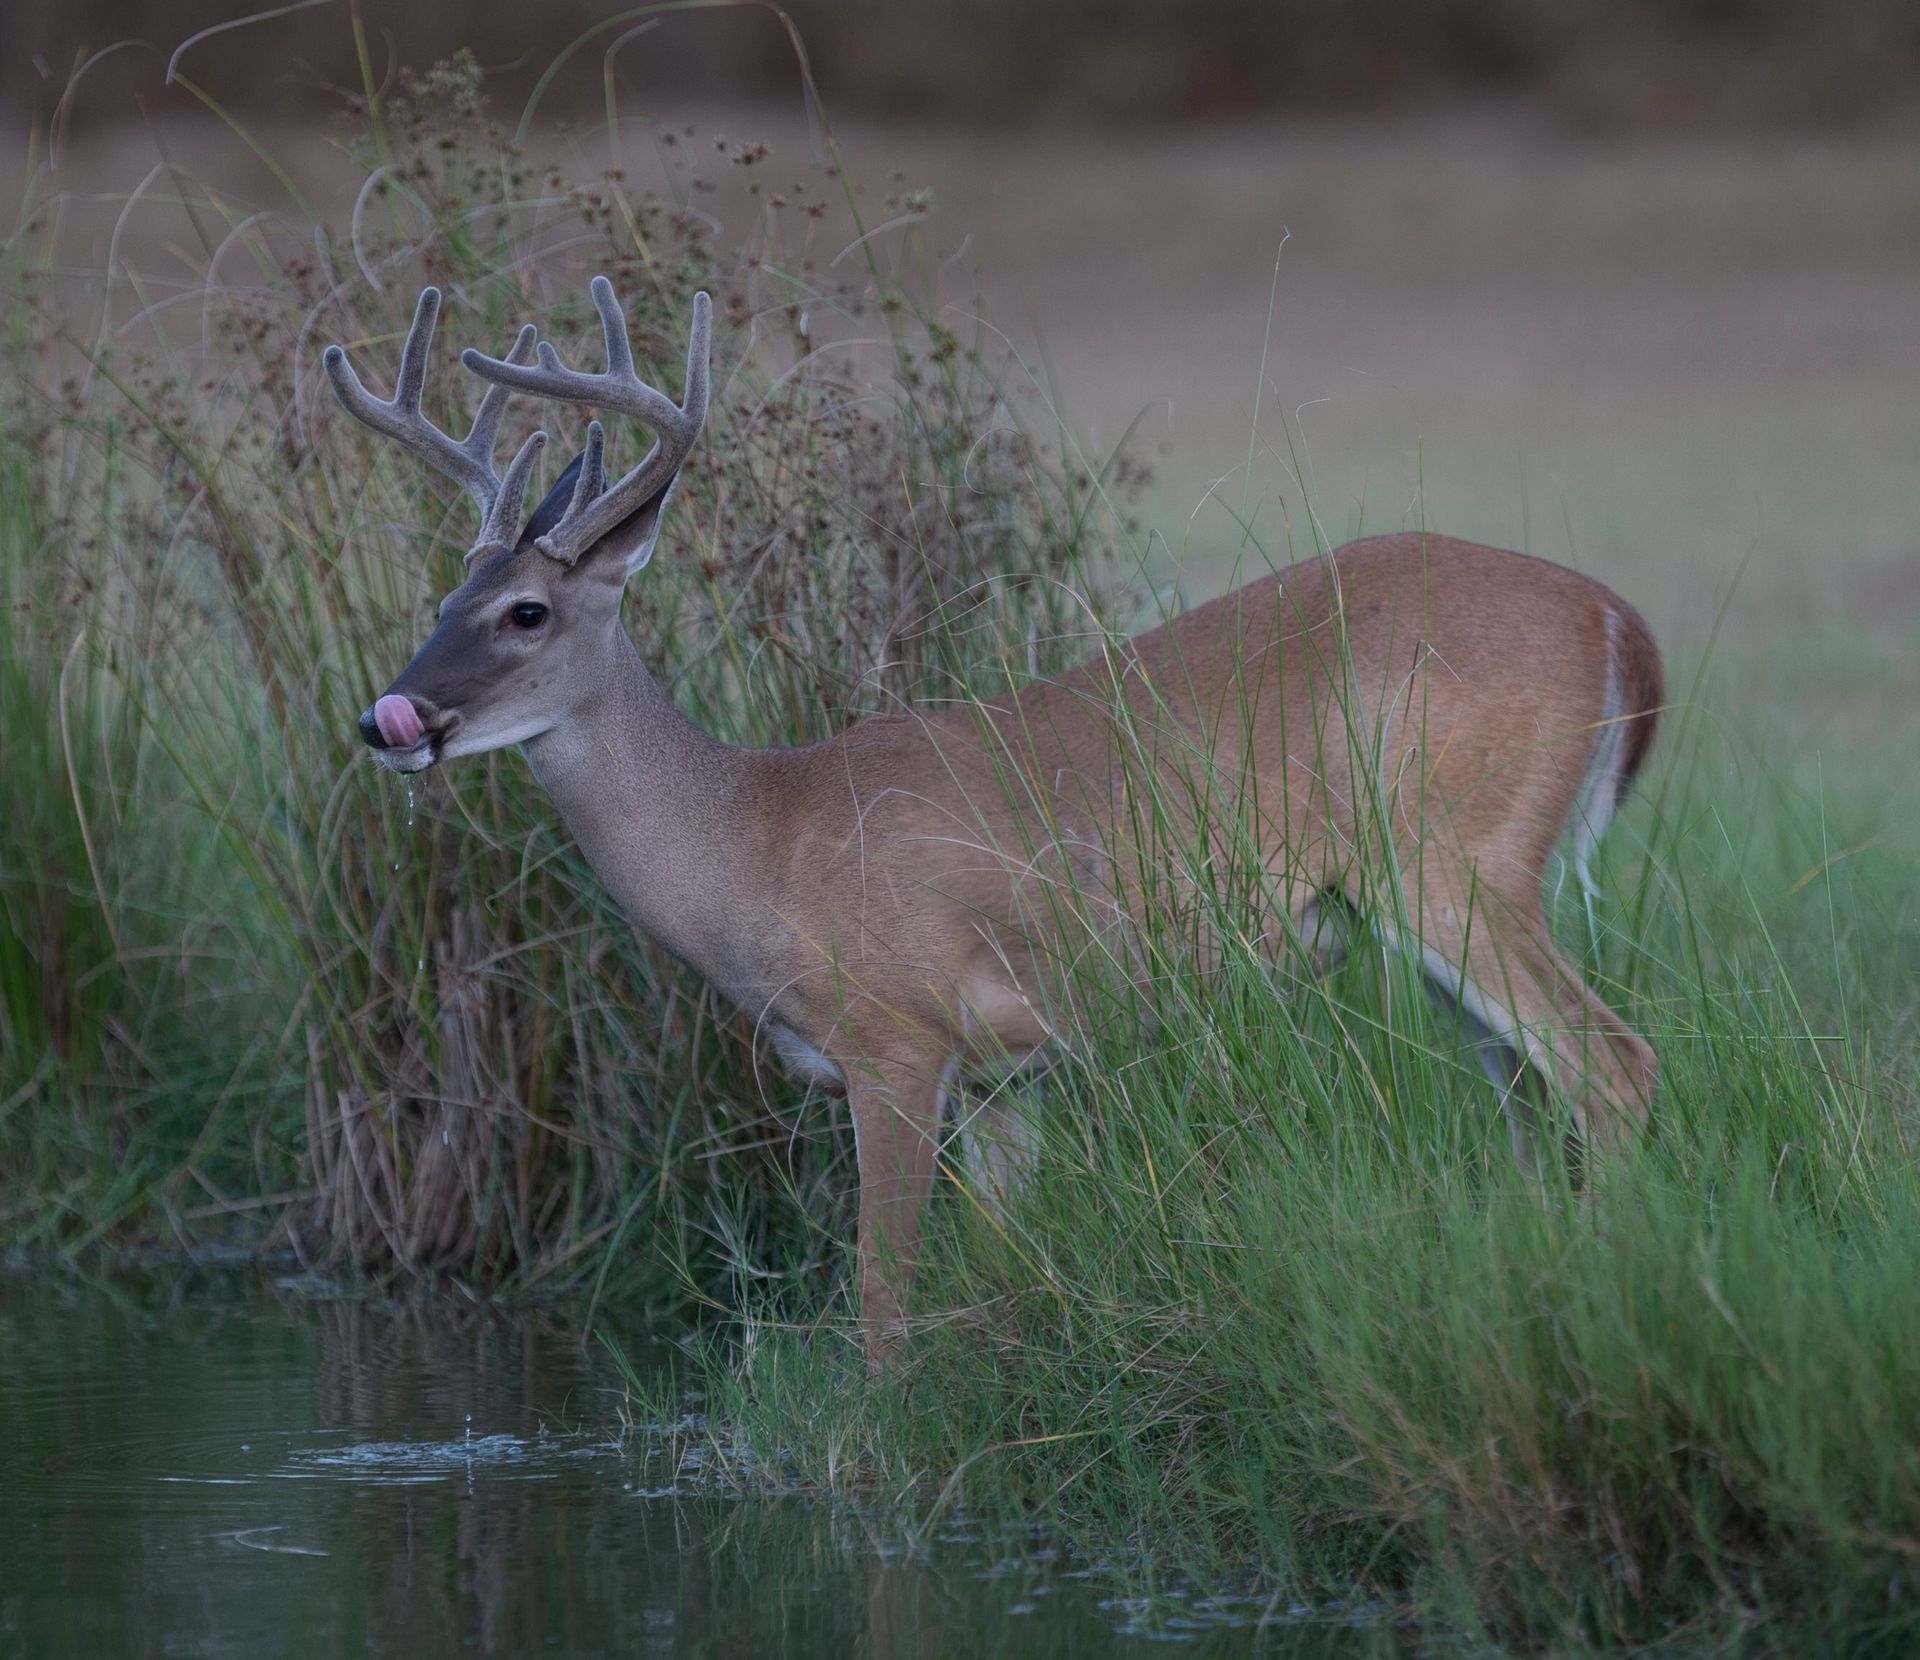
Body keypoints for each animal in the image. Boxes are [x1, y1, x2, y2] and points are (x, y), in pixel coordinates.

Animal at [324, 277, 1663, 1370]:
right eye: (443, 598)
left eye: (528, 612)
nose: (393, 719)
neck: (758, 845)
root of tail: (1621, 623)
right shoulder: (1009, 1071)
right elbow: (1004, 1278)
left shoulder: (897, 1037)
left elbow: (884, 1304)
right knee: (1528, 1091)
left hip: (1461, 861)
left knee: (1615, 1065)